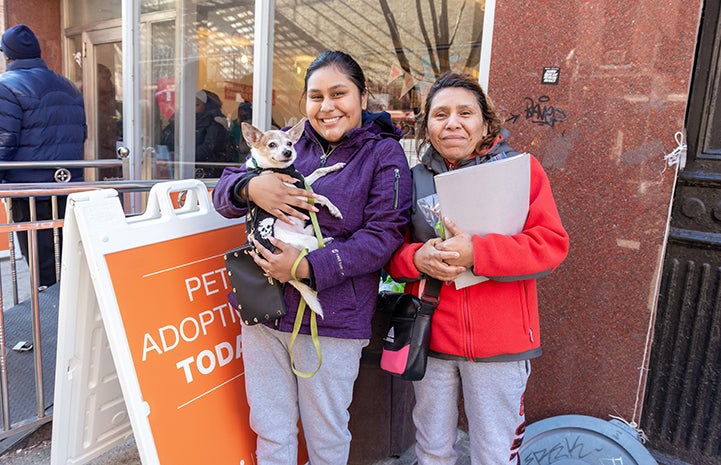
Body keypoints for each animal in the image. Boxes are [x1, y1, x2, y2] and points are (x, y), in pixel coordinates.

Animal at [240, 118, 344, 318]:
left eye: (289, 143)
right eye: (272, 144)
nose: (288, 152)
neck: (270, 169)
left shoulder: (302, 182)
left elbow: (318, 172)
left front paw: (334, 167)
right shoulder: (298, 194)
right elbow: (321, 197)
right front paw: (335, 209)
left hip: (306, 231)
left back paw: (326, 239)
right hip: (303, 242)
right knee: (310, 250)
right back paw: (324, 243)